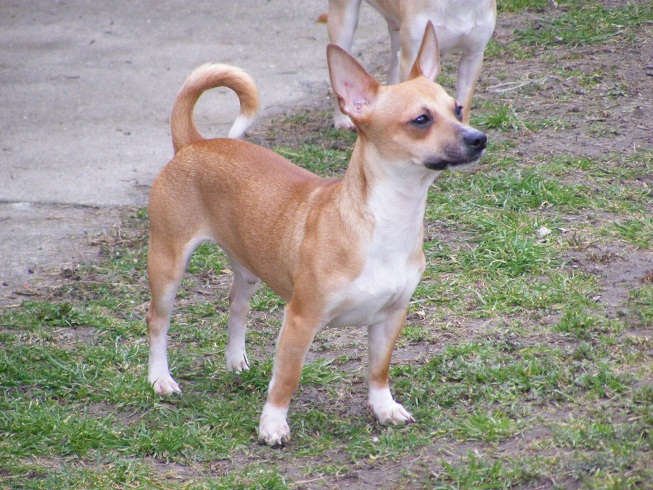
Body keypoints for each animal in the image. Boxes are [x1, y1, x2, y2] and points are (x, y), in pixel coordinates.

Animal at [146, 22, 487, 446]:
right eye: (421, 120)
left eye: (457, 109)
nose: (478, 138)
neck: (386, 220)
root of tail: (192, 142)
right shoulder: (300, 321)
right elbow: (286, 379)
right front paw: (272, 424)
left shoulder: (391, 317)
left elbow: (379, 370)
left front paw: (383, 407)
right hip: (168, 266)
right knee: (157, 321)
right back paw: (160, 379)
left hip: (247, 268)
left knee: (236, 306)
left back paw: (235, 359)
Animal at [327, 0, 497, 129]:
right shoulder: (412, 56)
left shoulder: (473, 57)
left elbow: (465, 102)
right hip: (344, 23)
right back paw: (342, 120)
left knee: (392, 67)